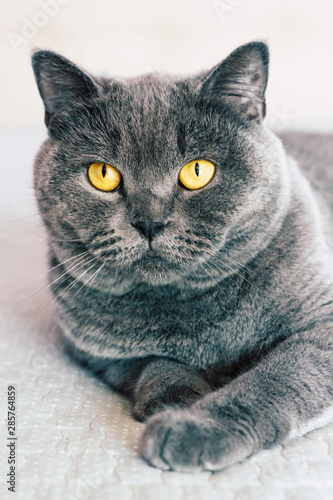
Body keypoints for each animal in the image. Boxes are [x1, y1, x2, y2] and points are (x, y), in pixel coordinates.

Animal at [31, 41, 332, 470]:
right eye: (102, 175)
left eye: (198, 171)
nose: (149, 222)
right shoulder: (95, 352)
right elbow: (153, 362)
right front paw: (175, 400)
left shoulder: (322, 320)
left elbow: (274, 379)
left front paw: (194, 427)